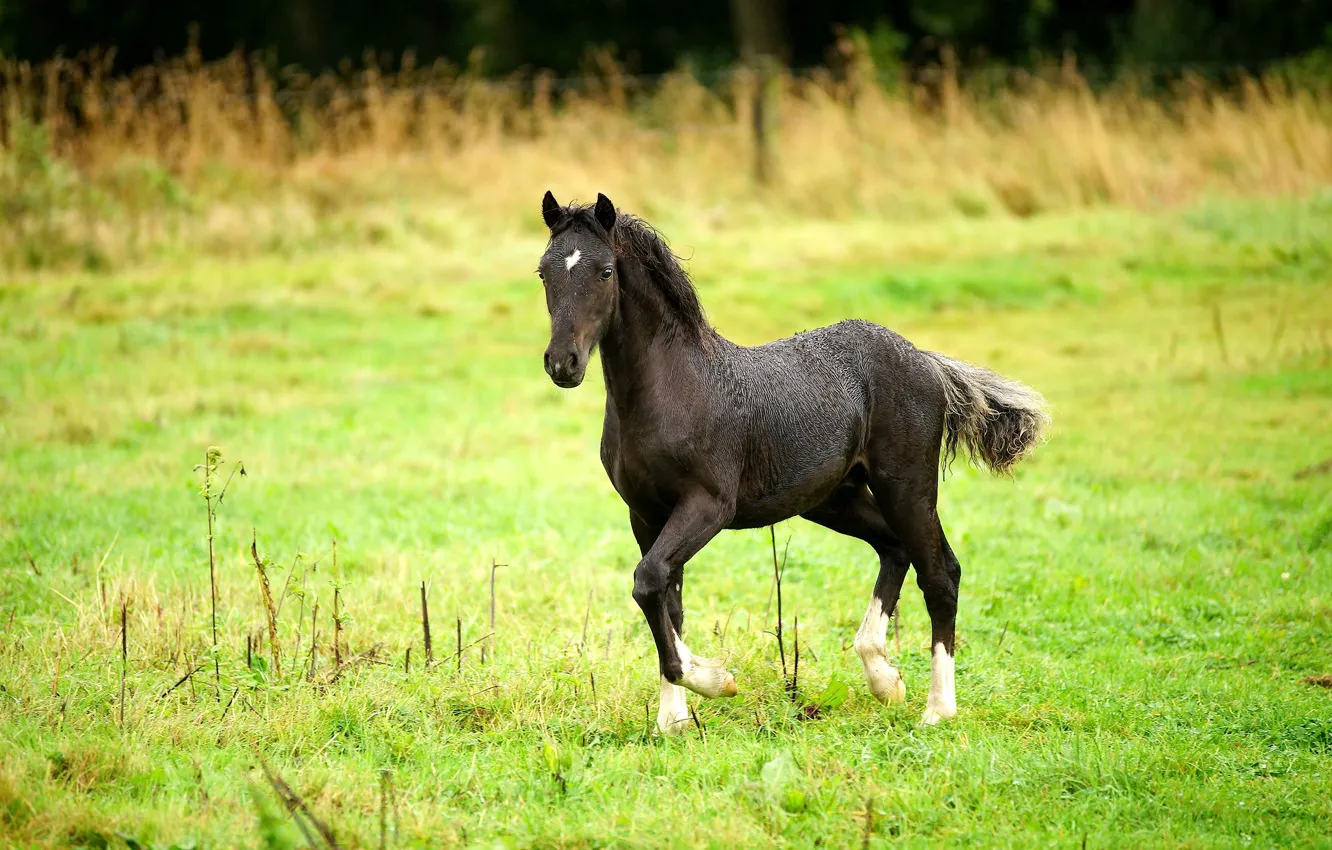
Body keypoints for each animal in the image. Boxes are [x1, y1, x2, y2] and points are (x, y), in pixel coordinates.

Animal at [535, 191, 1049, 733]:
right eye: (544, 272)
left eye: (606, 271)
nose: (562, 363)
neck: (673, 389)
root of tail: (927, 361)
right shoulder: (645, 514)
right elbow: (666, 599)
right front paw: (673, 719)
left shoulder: (708, 506)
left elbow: (648, 580)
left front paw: (716, 681)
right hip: (834, 498)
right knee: (893, 548)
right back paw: (884, 678)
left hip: (906, 485)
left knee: (940, 573)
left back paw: (937, 709)